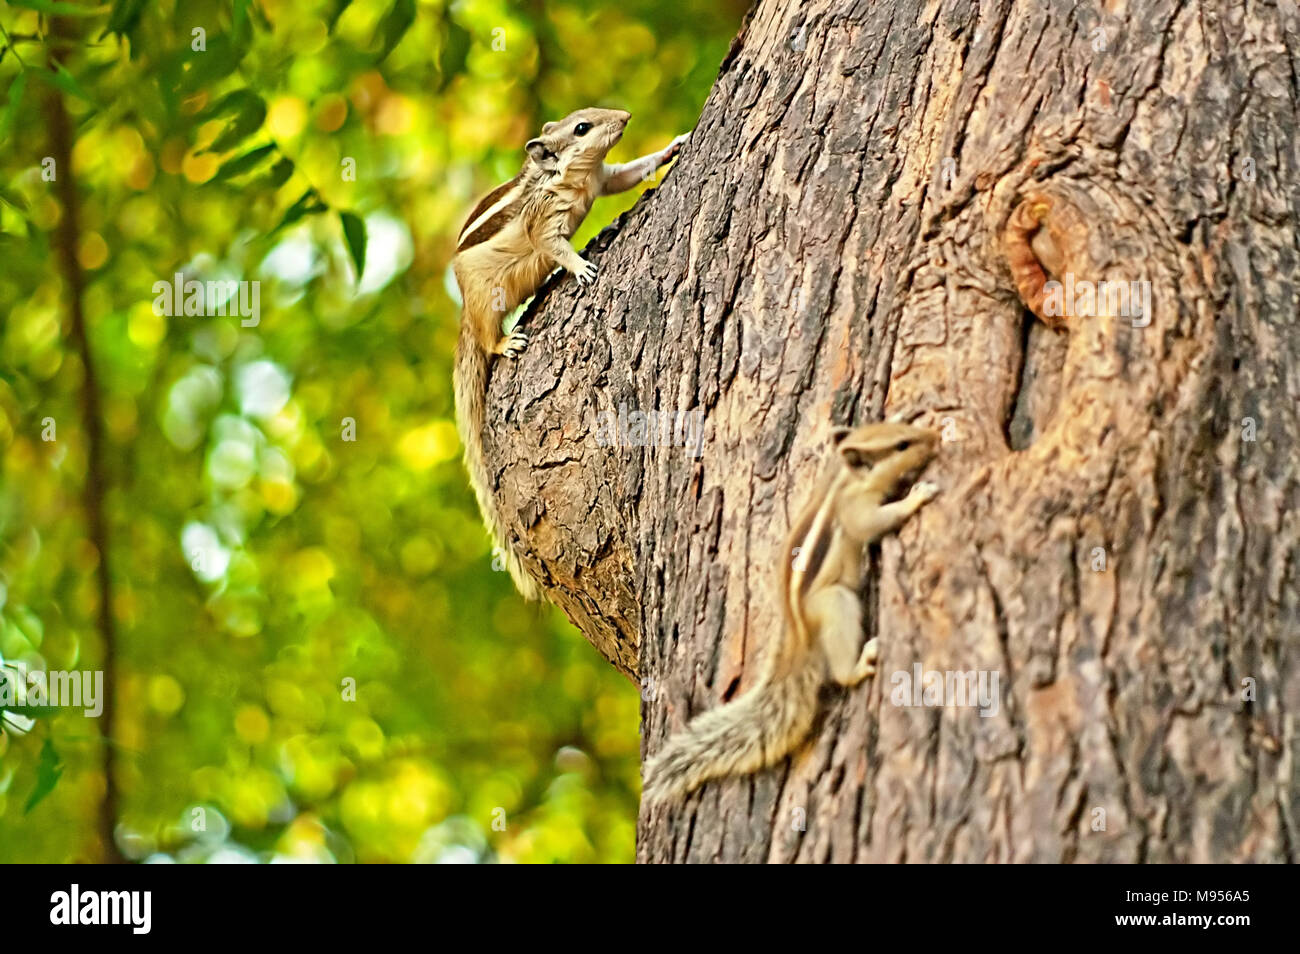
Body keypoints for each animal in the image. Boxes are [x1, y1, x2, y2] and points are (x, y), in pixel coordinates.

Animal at [452, 107, 688, 600]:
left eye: (591, 115)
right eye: (581, 128)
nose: (625, 115)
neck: (573, 178)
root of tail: (463, 307)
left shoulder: (604, 178)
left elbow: (630, 172)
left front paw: (673, 146)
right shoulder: (543, 222)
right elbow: (553, 247)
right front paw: (580, 267)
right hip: (484, 301)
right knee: (486, 338)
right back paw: (505, 342)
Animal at [642, 420, 941, 804]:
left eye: (903, 427)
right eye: (901, 445)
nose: (933, 439)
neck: (844, 477)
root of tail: (798, 633)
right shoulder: (855, 509)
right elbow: (874, 523)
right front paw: (917, 496)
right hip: (835, 603)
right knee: (842, 668)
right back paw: (862, 662)